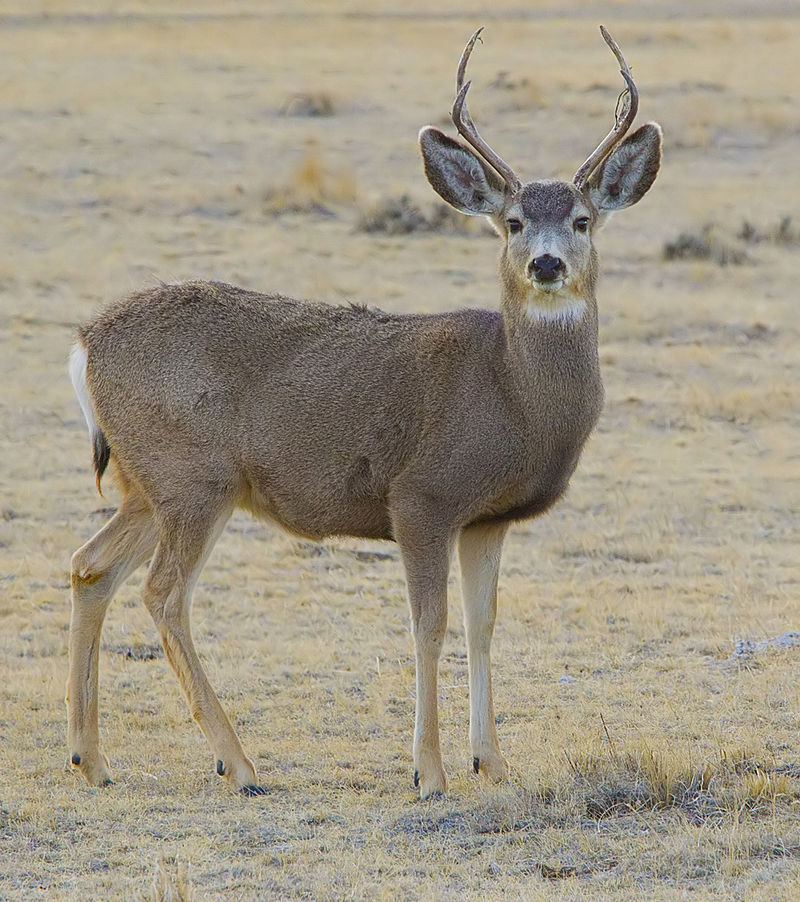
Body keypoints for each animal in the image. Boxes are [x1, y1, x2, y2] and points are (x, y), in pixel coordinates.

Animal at [66, 26, 661, 799]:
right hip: (194, 477)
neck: (511, 394)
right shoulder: (422, 496)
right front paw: (429, 772)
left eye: (583, 220)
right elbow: (429, 624)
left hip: (147, 483)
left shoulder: (487, 518)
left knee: (90, 567)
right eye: (513, 223)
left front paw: (492, 763)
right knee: (163, 592)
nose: (547, 265)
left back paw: (92, 758)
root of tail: (84, 342)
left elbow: (484, 624)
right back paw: (239, 763)